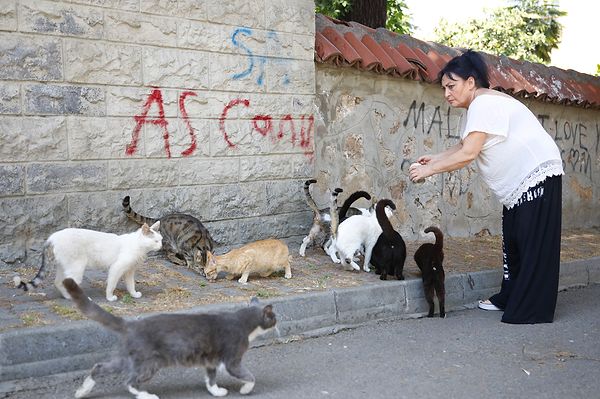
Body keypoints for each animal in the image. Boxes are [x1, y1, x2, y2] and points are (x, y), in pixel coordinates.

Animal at [14, 222, 163, 304]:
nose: (161, 246)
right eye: (155, 241)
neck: (138, 245)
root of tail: (52, 237)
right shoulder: (117, 268)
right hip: (77, 267)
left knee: (59, 282)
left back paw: (68, 297)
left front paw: (134, 294)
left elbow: (131, 284)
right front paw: (110, 297)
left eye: (161, 240)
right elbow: (111, 284)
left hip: (65, 266)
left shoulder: (129, 271)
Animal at [62, 278, 276, 399]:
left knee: (99, 367)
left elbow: (210, 379)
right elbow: (249, 376)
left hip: (125, 357)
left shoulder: (211, 360)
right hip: (151, 362)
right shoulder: (232, 359)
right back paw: (146, 396)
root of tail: (131, 324)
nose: (278, 322)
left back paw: (82, 391)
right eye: (274, 317)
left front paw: (216, 392)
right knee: (130, 381)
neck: (243, 321)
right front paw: (246, 390)